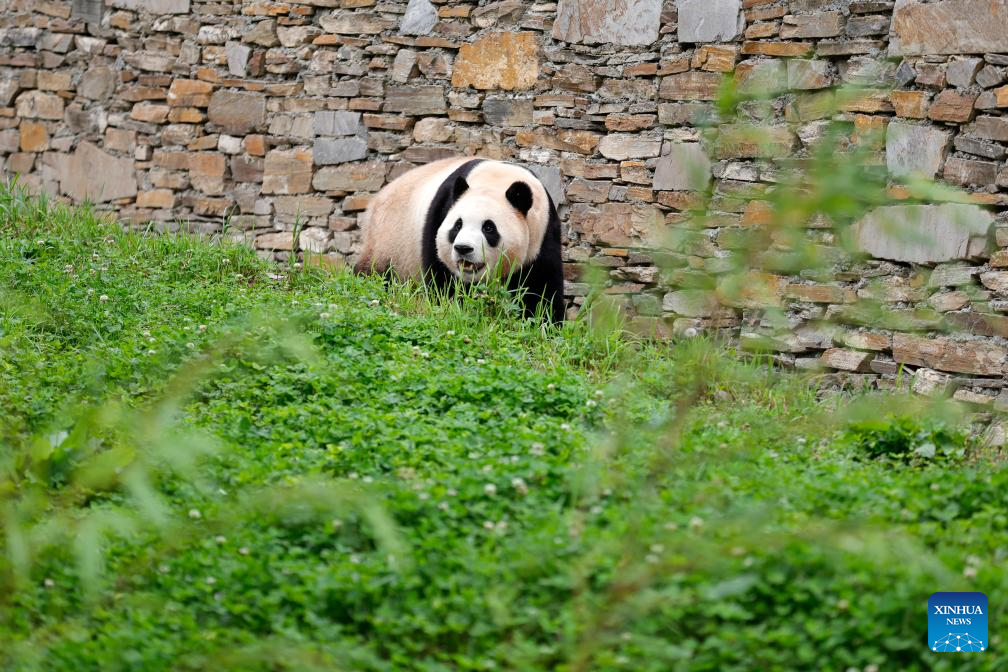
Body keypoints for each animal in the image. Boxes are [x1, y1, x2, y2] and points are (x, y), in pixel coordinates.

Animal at [356, 159, 568, 324]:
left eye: (488, 228)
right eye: (457, 225)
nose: (463, 248)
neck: (496, 181)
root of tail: (377, 198)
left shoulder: (542, 234)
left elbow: (540, 287)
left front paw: (544, 322)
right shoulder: (441, 212)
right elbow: (442, 277)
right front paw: (455, 309)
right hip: (389, 238)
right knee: (375, 271)